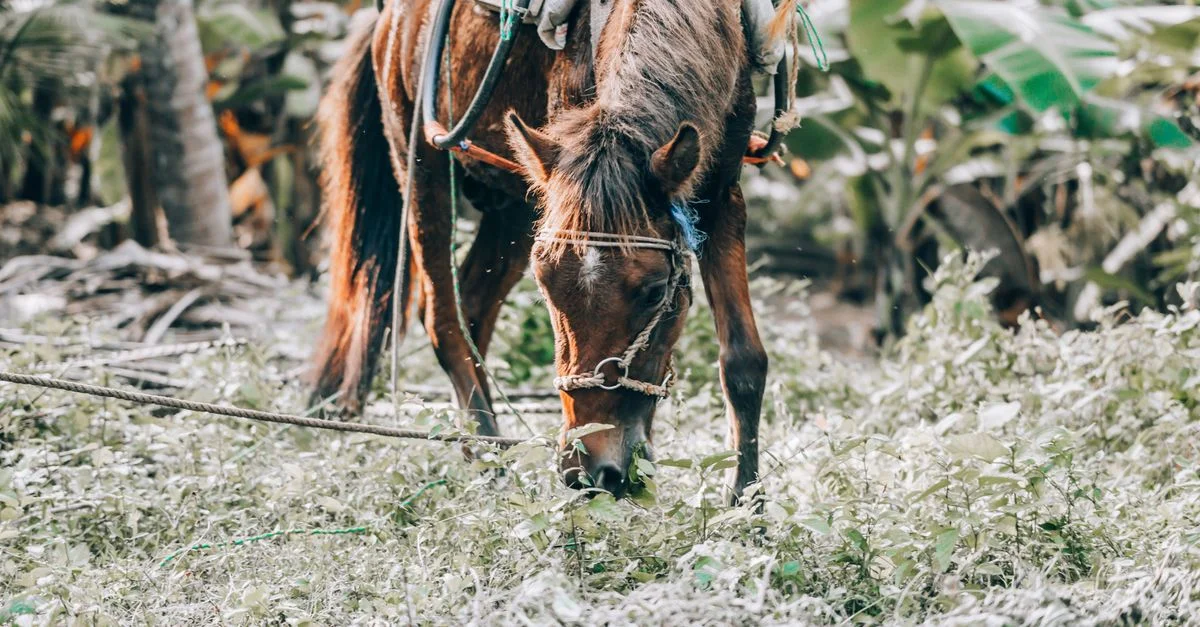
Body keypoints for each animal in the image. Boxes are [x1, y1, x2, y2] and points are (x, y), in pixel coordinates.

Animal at [311, 0, 774, 501]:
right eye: (546, 288)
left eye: (654, 292)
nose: (589, 472)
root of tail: (385, 20)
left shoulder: (722, 194)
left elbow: (743, 360)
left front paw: (748, 501)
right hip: (421, 163)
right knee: (443, 319)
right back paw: (488, 459)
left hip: (517, 204)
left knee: (472, 306)